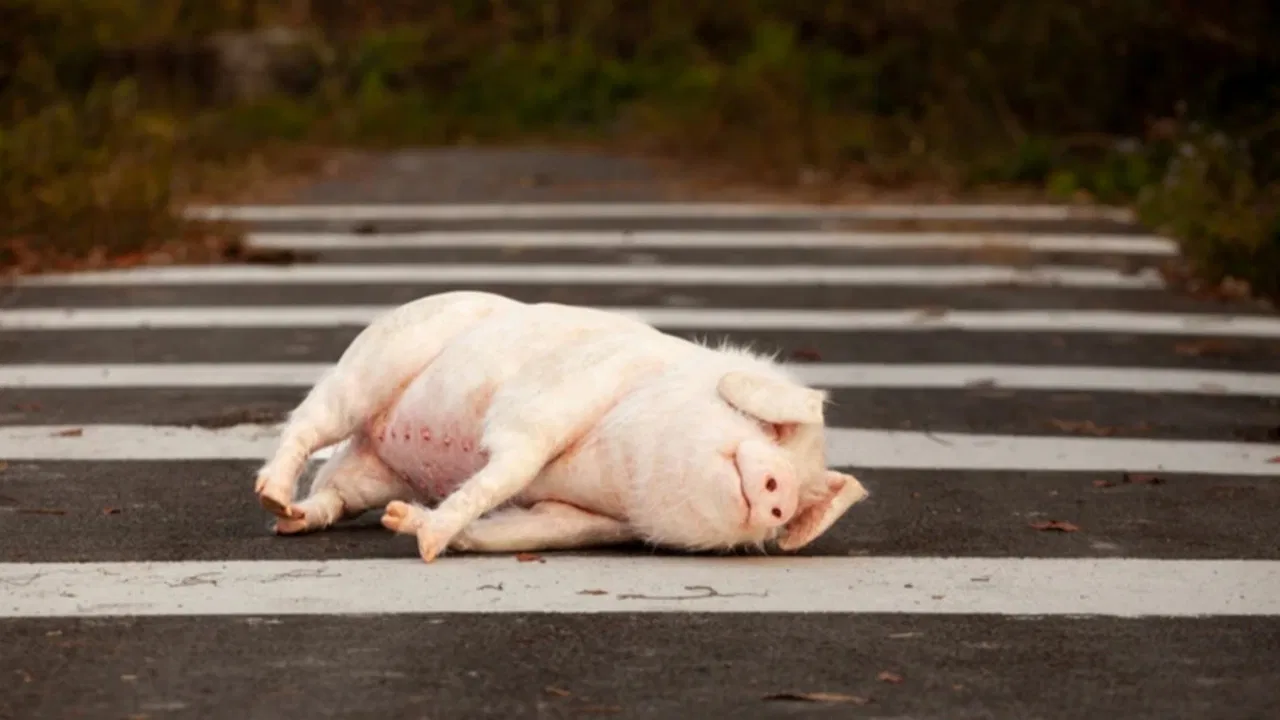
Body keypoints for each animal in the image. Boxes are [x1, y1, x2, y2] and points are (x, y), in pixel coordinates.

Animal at [253, 290, 868, 562]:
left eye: (805, 488)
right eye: (774, 431)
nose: (781, 494)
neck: (617, 468)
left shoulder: (592, 521)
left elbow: (525, 529)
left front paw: (407, 526)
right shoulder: (551, 402)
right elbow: (508, 467)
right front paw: (427, 545)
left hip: (372, 471)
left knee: (335, 494)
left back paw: (292, 520)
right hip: (371, 365)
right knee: (308, 423)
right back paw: (271, 496)